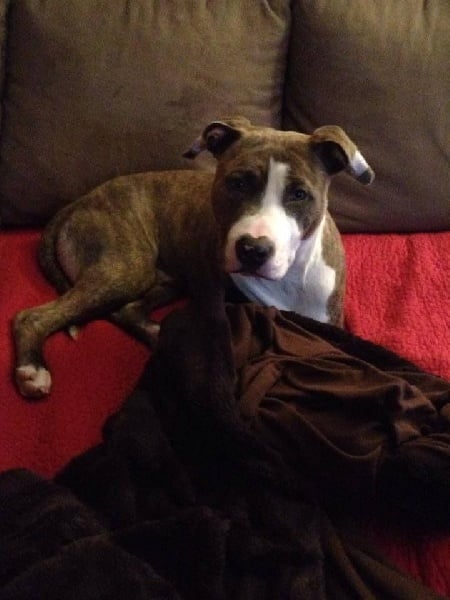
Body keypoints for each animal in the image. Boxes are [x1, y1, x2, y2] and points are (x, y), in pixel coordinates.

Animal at [13, 117, 374, 397]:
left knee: (128, 310)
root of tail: (77, 202)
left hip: (166, 280)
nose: (253, 250)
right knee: (33, 317)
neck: (289, 280)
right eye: (237, 183)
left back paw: (160, 335)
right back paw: (32, 369)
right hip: (125, 268)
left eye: (299, 194)